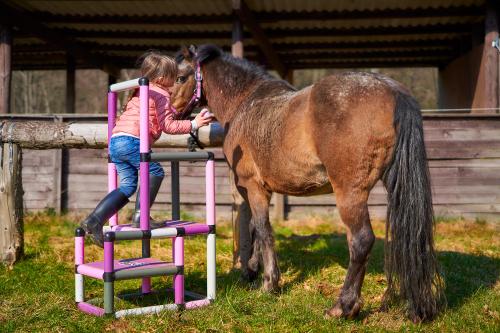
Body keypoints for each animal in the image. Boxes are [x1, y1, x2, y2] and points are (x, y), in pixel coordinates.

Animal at [173, 44, 446, 322]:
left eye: (180, 77)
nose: (172, 113)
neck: (244, 102)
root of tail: (392, 90)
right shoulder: (260, 191)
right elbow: (254, 228)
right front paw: (251, 270)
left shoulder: (253, 187)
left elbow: (262, 229)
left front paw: (269, 283)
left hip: (349, 193)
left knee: (361, 241)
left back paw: (343, 306)